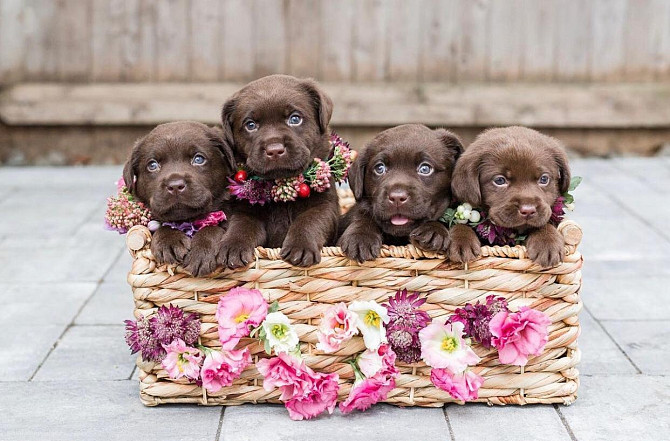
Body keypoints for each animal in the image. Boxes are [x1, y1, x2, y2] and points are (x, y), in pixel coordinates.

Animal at [124, 121, 238, 276]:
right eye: (152, 165)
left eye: (198, 159)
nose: (175, 186)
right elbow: (165, 224)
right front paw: (169, 241)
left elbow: (211, 227)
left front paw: (201, 252)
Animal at [218, 75, 338, 266]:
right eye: (250, 125)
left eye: (295, 119)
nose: (274, 150)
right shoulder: (245, 209)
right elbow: (242, 224)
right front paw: (232, 246)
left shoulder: (325, 205)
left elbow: (310, 220)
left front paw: (300, 247)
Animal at [338, 124, 464, 262]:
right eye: (379, 168)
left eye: (425, 169)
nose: (397, 198)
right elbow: (363, 215)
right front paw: (361, 236)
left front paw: (433, 231)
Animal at [452, 125, 572, 266]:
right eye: (499, 180)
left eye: (544, 179)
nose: (528, 210)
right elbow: (460, 224)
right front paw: (461, 240)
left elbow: (544, 223)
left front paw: (547, 242)